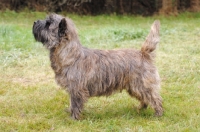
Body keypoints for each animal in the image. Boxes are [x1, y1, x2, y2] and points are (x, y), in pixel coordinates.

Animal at [32, 13, 162, 119]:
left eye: (48, 24)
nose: (34, 22)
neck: (70, 55)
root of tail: (143, 53)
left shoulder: (76, 89)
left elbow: (75, 104)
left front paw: (73, 118)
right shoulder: (73, 89)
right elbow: (71, 103)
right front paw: (70, 112)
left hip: (142, 85)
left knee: (155, 98)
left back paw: (158, 114)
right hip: (134, 87)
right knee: (145, 99)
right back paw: (140, 109)